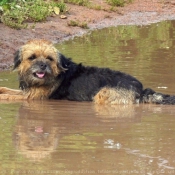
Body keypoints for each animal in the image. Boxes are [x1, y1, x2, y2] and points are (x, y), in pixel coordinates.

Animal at [0, 39, 175, 104]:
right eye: (32, 57)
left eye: (49, 58)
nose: (43, 65)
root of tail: (140, 89)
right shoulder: (28, 92)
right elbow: (8, 90)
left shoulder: (34, 97)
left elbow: (10, 96)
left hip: (103, 94)